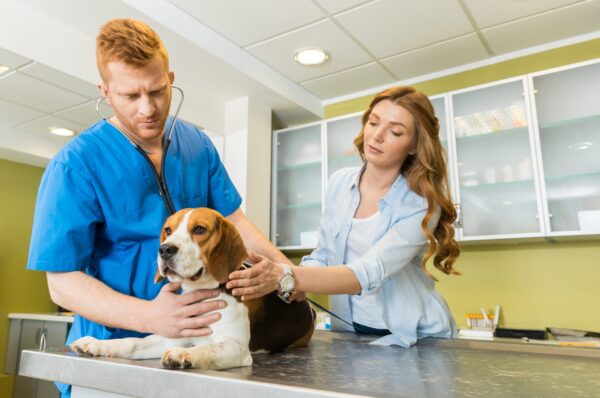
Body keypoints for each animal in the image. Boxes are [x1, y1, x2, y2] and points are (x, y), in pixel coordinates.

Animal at [70, 208, 314, 370]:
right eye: (168, 230)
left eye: (199, 229)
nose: (165, 249)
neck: (202, 294)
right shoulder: (174, 335)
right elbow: (132, 342)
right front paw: (96, 344)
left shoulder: (236, 348)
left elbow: (208, 348)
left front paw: (184, 353)